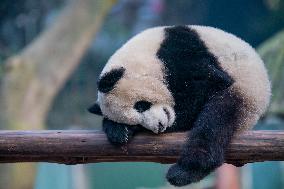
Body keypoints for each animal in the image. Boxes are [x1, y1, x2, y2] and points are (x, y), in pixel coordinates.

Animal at [89, 25, 270, 186]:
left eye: (140, 105)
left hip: (245, 94)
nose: (159, 126)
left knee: (213, 125)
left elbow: (208, 85)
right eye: (137, 119)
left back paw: (183, 173)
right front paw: (119, 130)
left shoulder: (181, 53)